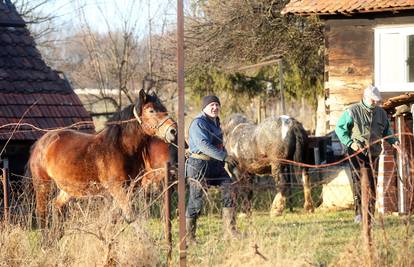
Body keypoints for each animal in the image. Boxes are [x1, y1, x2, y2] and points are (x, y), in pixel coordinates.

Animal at [27, 90, 176, 226]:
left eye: (164, 109)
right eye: (151, 110)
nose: (173, 131)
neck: (121, 148)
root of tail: (40, 143)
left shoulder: (130, 189)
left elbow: (114, 218)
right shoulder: (117, 188)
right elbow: (130, 217)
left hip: (67, 189)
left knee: (56, 206)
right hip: (43, 185)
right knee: (42, 214)